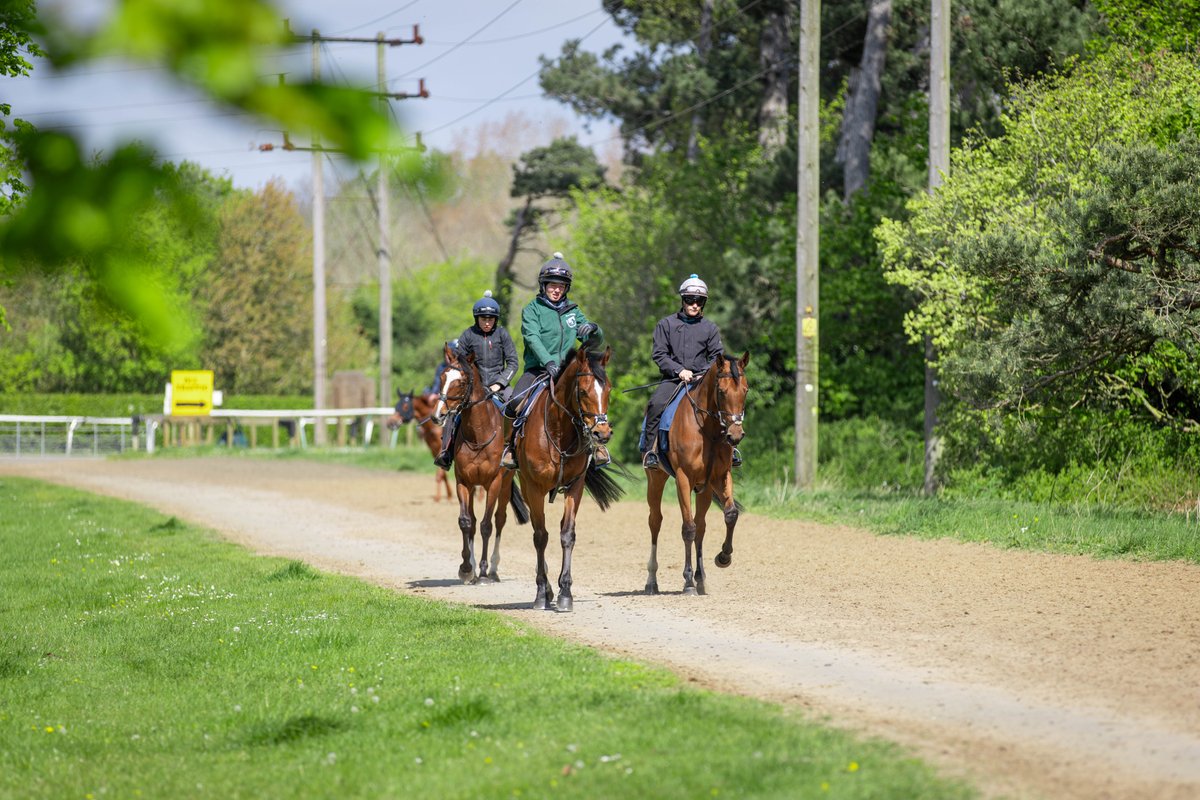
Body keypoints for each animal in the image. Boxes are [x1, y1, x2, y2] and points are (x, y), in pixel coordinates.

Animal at [429, 343, 528, 582]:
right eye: (443, 376)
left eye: (462, 381)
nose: (438, 415)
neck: (478, 434)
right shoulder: (464, 482)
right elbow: (467, 522)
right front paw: (467, 568)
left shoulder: (493, 483)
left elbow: (486, 525)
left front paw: (482, 571)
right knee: (473, 521)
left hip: (504, 485)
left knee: (500, 519)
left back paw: (492, 568)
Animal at [511, 345, 624, 614]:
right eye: (582, 391)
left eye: (609, 389)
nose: (602, 433)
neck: (559, 431)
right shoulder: (535, 489)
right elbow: (541, 537)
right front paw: (541, 593)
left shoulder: (575, 487)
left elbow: (567, 535)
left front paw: (565, 593)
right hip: (527, 488)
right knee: (537, 532)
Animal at [648, 352, 748, 597]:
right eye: (721, 391)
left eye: (746, 390)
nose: (735, 435)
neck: (707, 429)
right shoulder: (683, 479)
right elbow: (688, 528)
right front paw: (687, 582)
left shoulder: (720, 477)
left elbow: (730, 515)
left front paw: (723, 557)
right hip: (655, 480)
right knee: (656, 521)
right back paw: (652, 582)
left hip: (705, 490)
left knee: (701, 526)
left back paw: (701, 578)